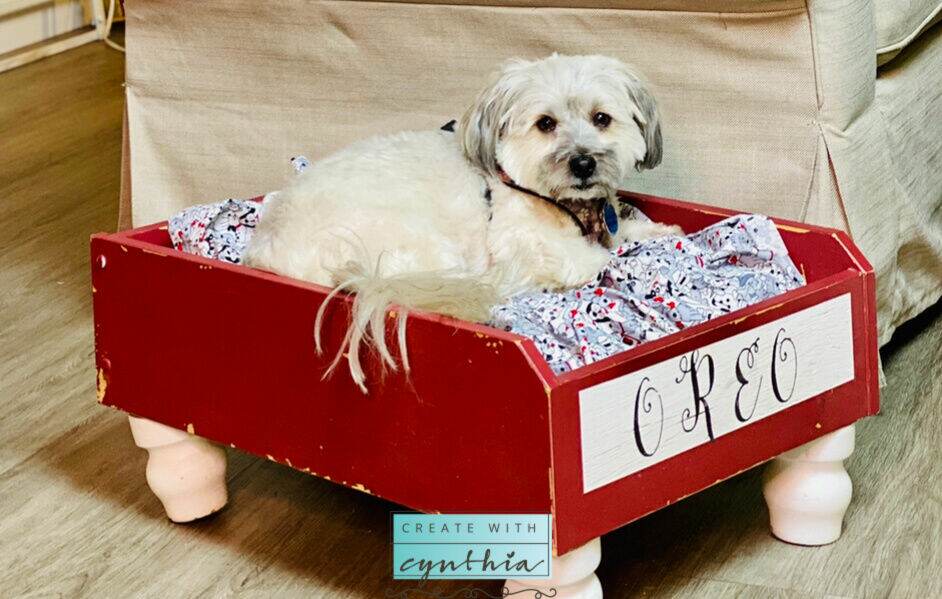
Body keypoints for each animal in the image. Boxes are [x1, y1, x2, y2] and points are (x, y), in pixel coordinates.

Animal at [245, 54, 680, 392]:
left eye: (601, 118)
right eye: (545, 123)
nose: (584, 163)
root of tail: (268, 249)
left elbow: (625, 233)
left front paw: (658, 231)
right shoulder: (531, 244)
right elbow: (597, 258)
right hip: (423, 246)